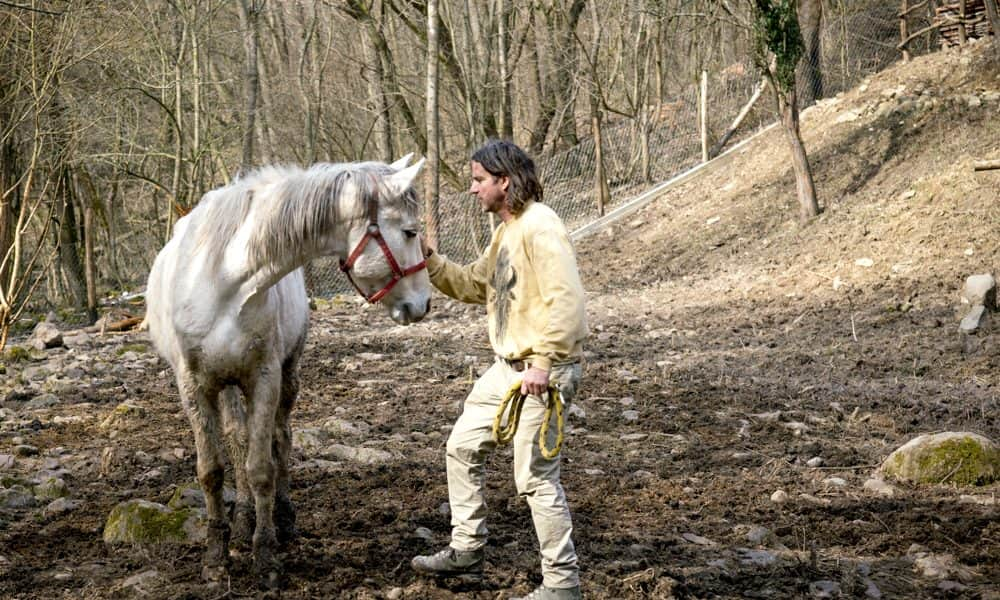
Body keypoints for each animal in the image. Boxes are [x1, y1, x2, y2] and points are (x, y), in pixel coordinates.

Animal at [144, 156, 430, 592]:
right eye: (410, 231)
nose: (423, 304)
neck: (222, 279)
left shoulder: (265, 379)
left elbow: (262, 468)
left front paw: (266, 557)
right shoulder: (194, 387)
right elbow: (211, 471)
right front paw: (216, 559)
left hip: (286, 374)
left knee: (280, 439)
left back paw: (282, 517)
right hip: (228, 386)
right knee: (238, 438)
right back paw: (242, 521)